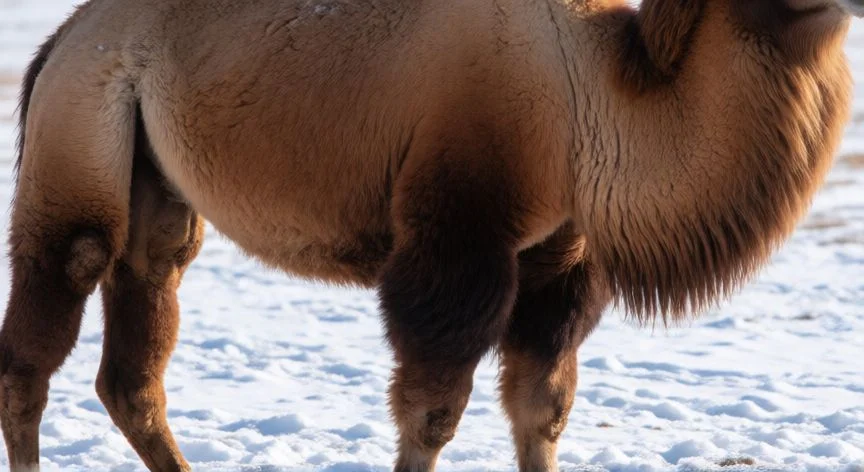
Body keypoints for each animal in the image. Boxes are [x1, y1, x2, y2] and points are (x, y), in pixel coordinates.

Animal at [1, 0, 859, 469]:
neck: (596, 91)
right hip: (82, 125)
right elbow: (432, 411)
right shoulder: (458, 241)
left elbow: (542, 410)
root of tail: (61, 41)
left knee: (137, 345)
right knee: (51, 309)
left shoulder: (557, 261)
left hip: (153, 179)